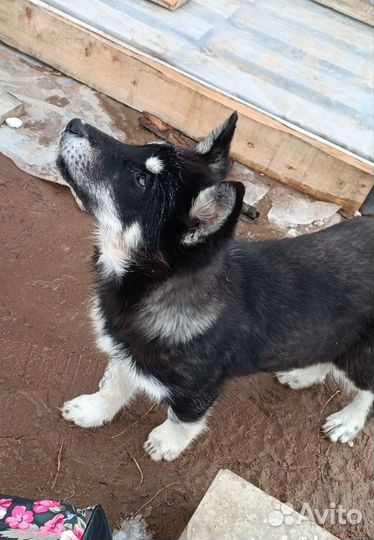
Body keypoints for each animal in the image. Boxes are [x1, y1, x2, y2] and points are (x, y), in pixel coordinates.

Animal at [57, 114, 372, 460]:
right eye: (142, 147)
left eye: (141, 180)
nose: (73, 124)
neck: (157, 287)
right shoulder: (129, 351)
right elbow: (115, 384)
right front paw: (94, 409)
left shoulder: (198, 389)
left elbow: (181, 418)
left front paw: (167, 442)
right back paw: (303, 374)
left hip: (364, 354)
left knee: (366, 390)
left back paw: (348, 421)